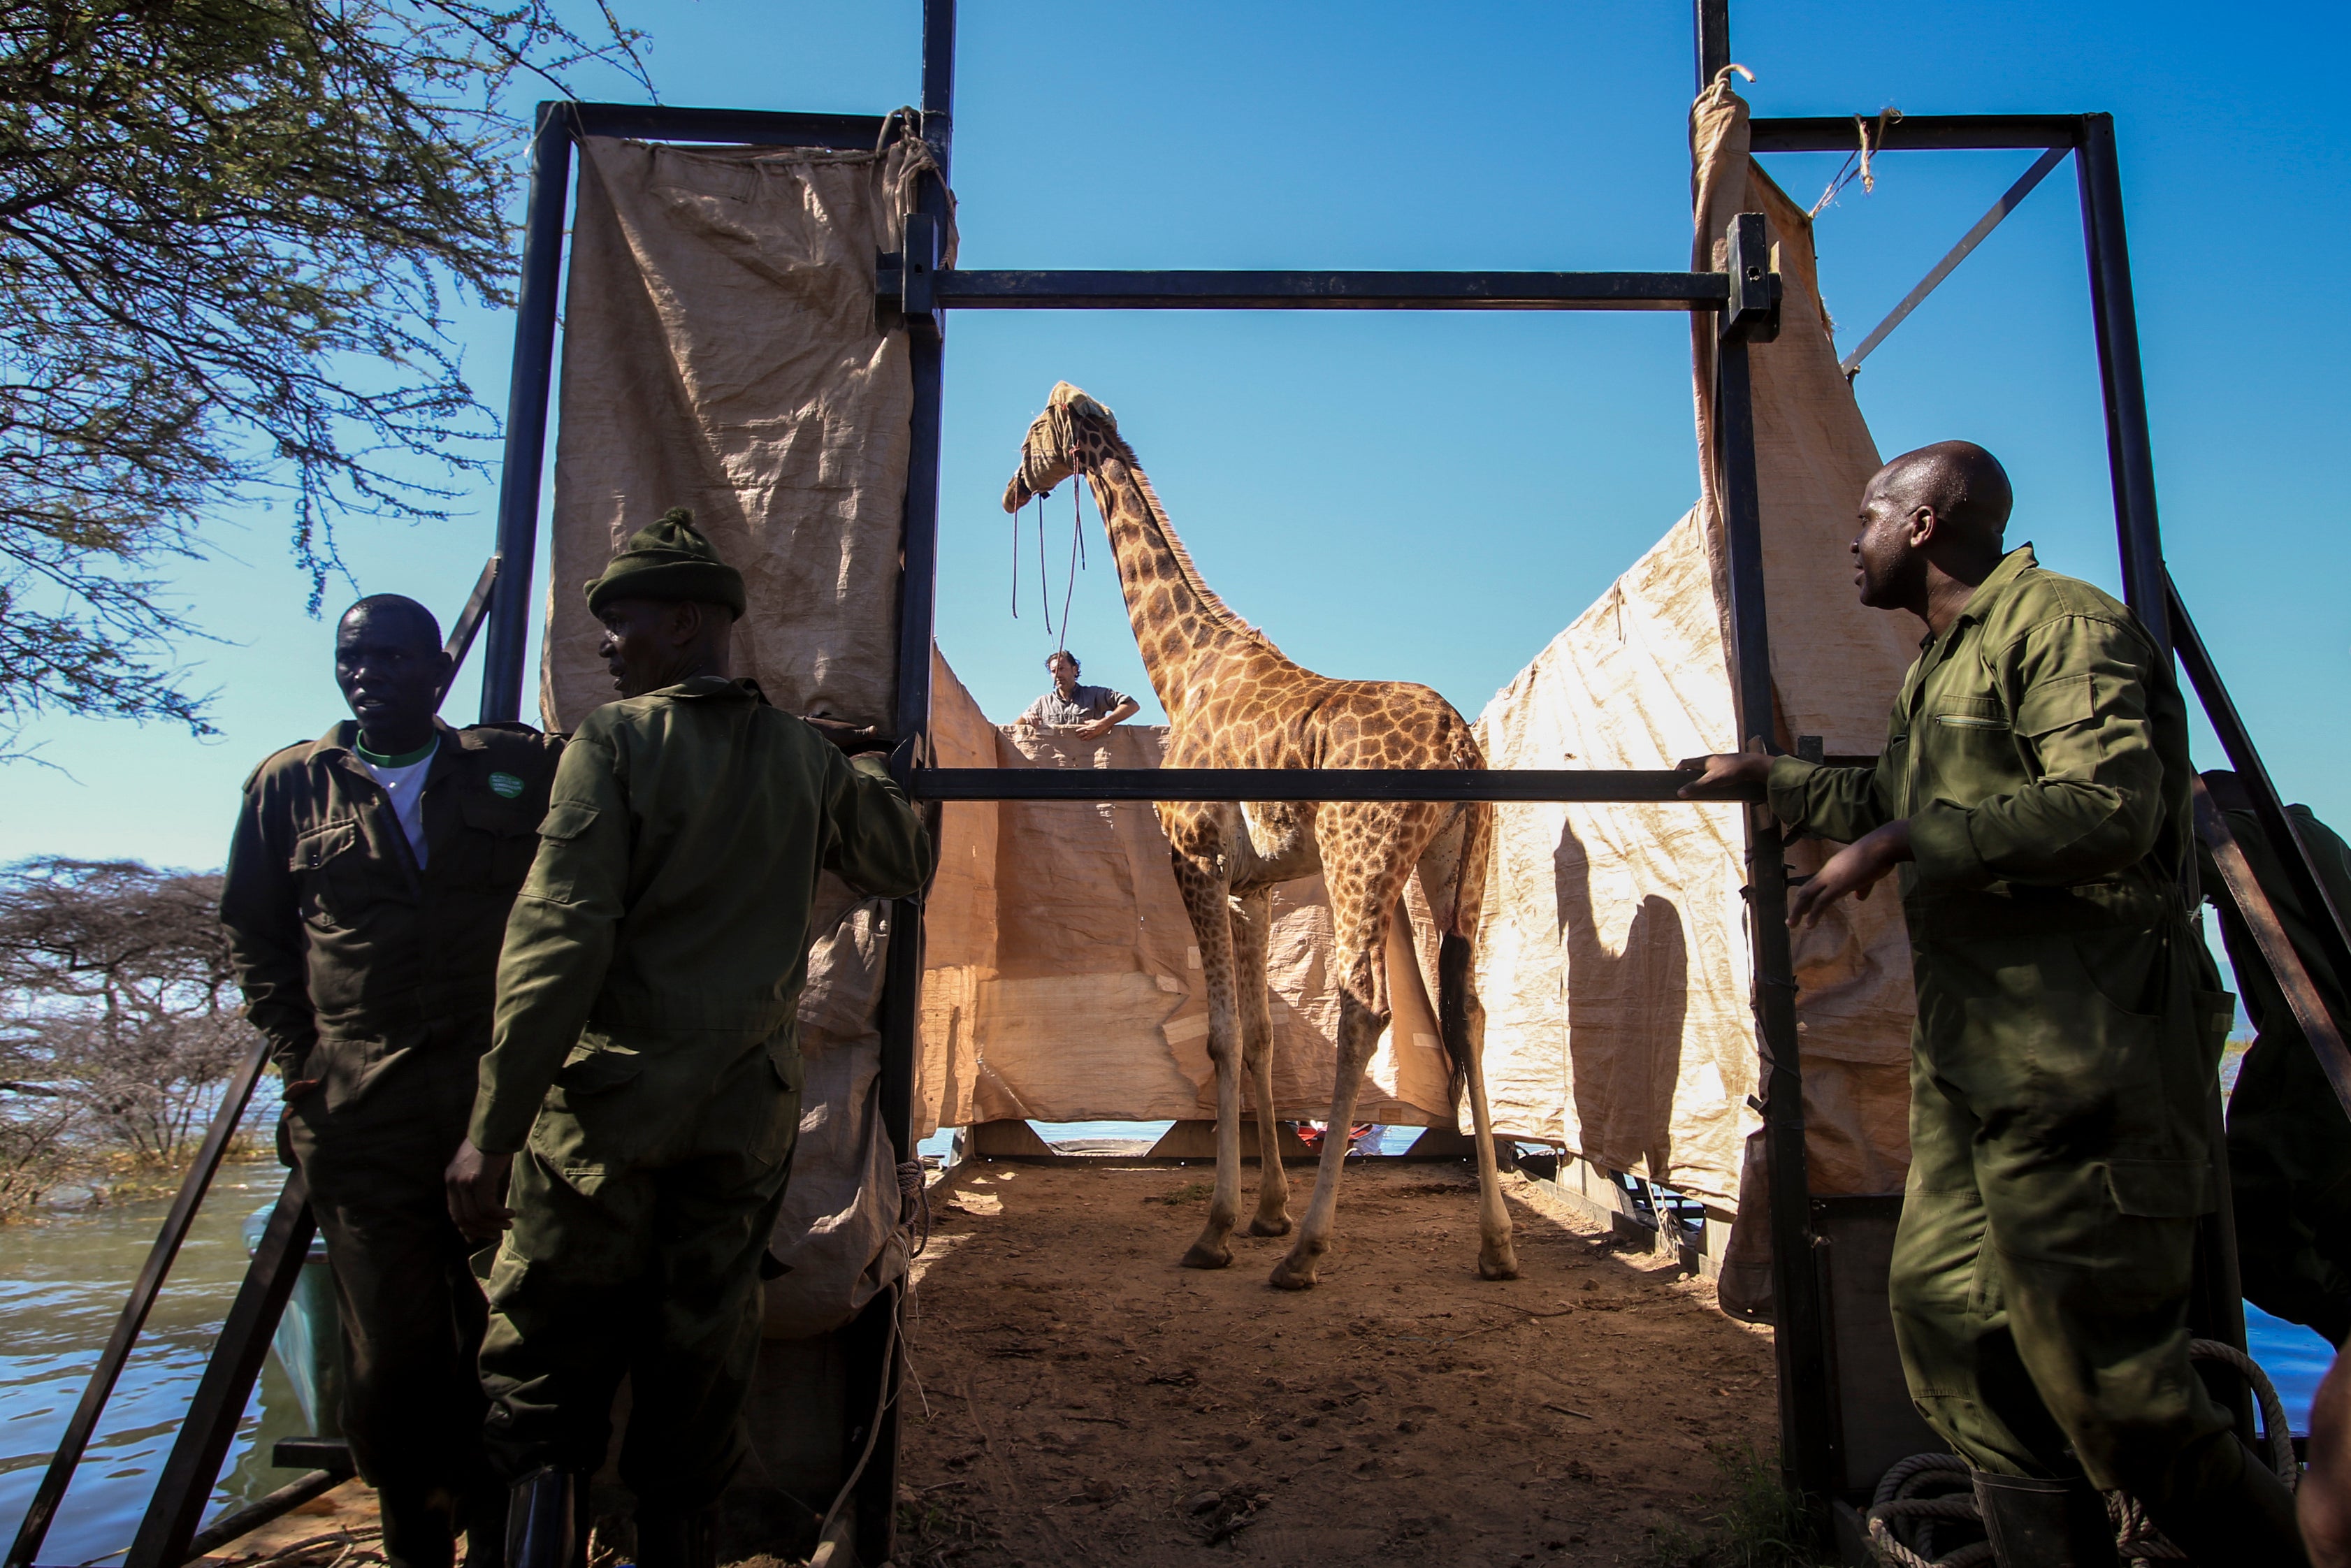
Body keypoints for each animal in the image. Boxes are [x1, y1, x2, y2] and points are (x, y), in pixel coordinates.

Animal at [997, 383, 1523, 1288]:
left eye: (1033, 429)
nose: (1007, 490)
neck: (1183, 668)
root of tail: (1460, 739)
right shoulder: (1257, 885)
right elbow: (1263, 1037)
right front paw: (1266, 1212)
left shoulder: (1194, 859)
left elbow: (1219, 1038)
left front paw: (1220, 1229)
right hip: (1458, 863)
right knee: (1468, 1009)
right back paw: (1494, 1244)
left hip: (1360, 859)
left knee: (1364, 1009)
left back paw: (1309, 1252)